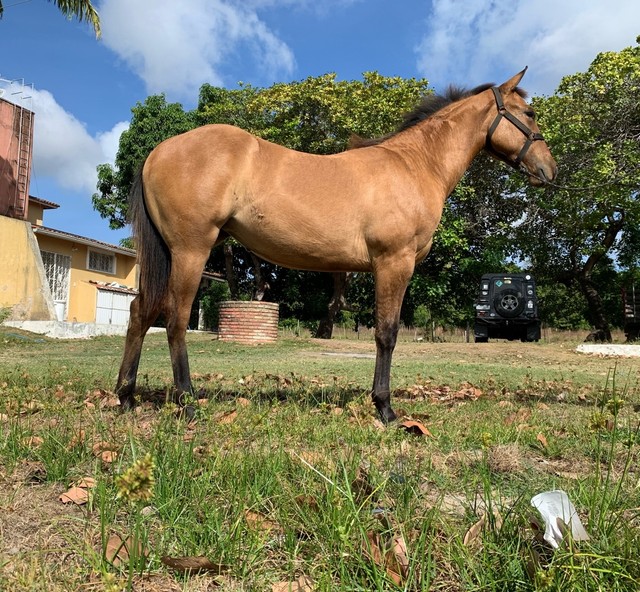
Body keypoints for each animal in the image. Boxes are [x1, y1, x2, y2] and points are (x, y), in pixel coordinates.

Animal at [117, 68, 556, 420]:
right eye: (529, 114)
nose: (550, 170)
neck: (414, 164)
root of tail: (157, 152)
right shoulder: (394, 262)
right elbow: (386, 333)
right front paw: (385, 408)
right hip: (191, 250)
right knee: (175, 319)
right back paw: (187, 403)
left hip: (171, 254)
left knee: (141, 312)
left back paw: (126, 397)